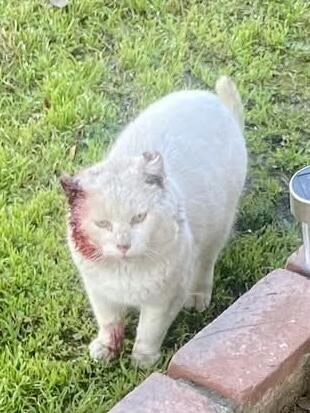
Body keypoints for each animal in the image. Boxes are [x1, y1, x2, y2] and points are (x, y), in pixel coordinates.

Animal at [61, 75, 247, 366]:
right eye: (102, 224)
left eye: (139, 218)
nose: (123, 245)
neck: (124, 272)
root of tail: (213, 101)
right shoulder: (100, 293)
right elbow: (109, 322)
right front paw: (106, 349)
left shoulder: (165, 300)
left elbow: (149, 331)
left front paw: (142, 361)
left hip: (218, 228)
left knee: (206, 264)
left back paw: (199, 297)